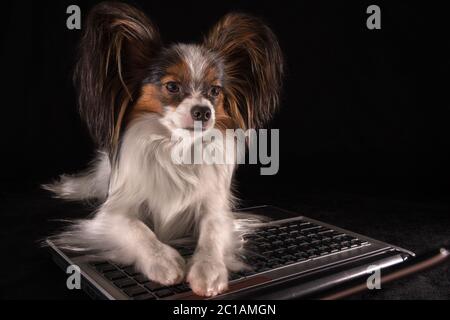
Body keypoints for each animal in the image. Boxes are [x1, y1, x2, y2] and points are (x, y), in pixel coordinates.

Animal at [46, 1, 284, 298]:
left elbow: (212, 231)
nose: (203, 111)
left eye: (215, 91)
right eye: (172, 86)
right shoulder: (113, 214)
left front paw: (208, 269)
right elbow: (138, 229)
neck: (176, 147)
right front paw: (164, 261)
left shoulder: (216, 209)